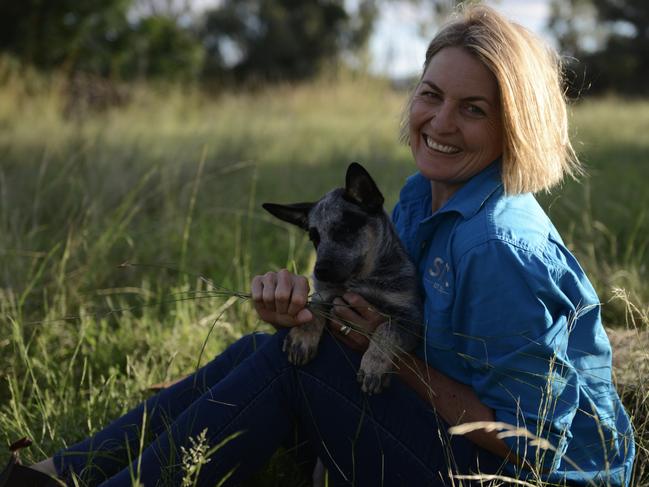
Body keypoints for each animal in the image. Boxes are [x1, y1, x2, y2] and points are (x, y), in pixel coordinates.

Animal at [260, 162, 422, 394]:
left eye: (344, 229)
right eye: (314, 238)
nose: (319, 272)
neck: (362, 279)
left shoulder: (411, 320)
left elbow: (386, 330)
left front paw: (374, 366)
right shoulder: (326, 294)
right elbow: (314, 309)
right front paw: (302, 338)